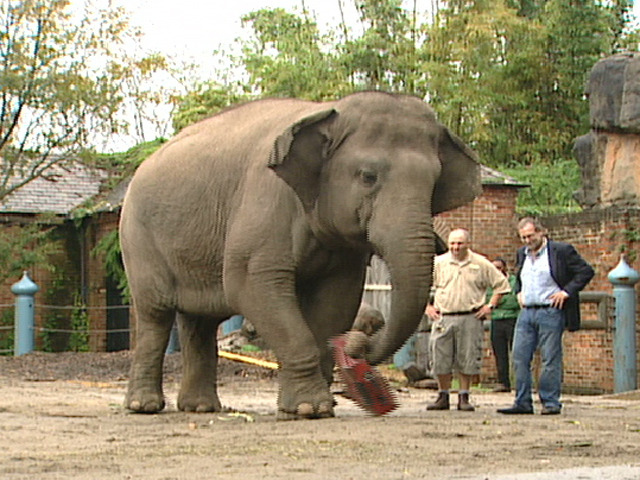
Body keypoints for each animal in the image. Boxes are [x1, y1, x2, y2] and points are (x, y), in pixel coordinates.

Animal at [120, 91, 481, 420]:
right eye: (368, 177)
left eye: (434, 184)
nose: (358, 344)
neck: (328, 112)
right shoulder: (265, 205)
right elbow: (251, 287)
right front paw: (310, 409)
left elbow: (336, 299)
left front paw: (317, 406)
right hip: (138, 238)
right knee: (155, 315)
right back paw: (144, 407)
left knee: (199, 322)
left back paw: (200, 408)